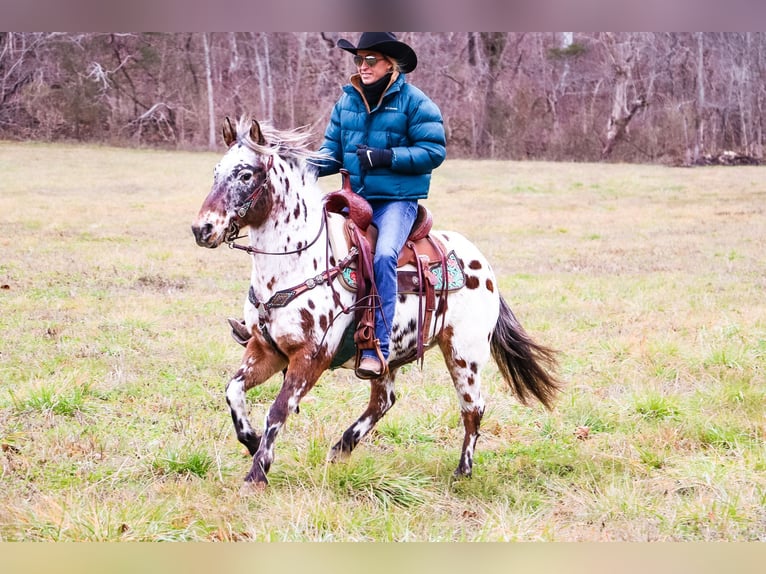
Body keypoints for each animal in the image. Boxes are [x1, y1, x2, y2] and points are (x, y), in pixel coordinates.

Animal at [192, 116, 564, 490]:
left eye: (245, 174)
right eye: (215, 171)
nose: (202, 228)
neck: (295, 264)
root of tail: (482, 264)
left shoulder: (310, 357)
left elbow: (278, 410)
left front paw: (257, 473)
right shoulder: (266, 349)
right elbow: (234, 390)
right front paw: (251, 441)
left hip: (465, 354)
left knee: (472, 409)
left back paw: (463, 471)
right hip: (387, 357)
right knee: (383, 401)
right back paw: (341, 448)